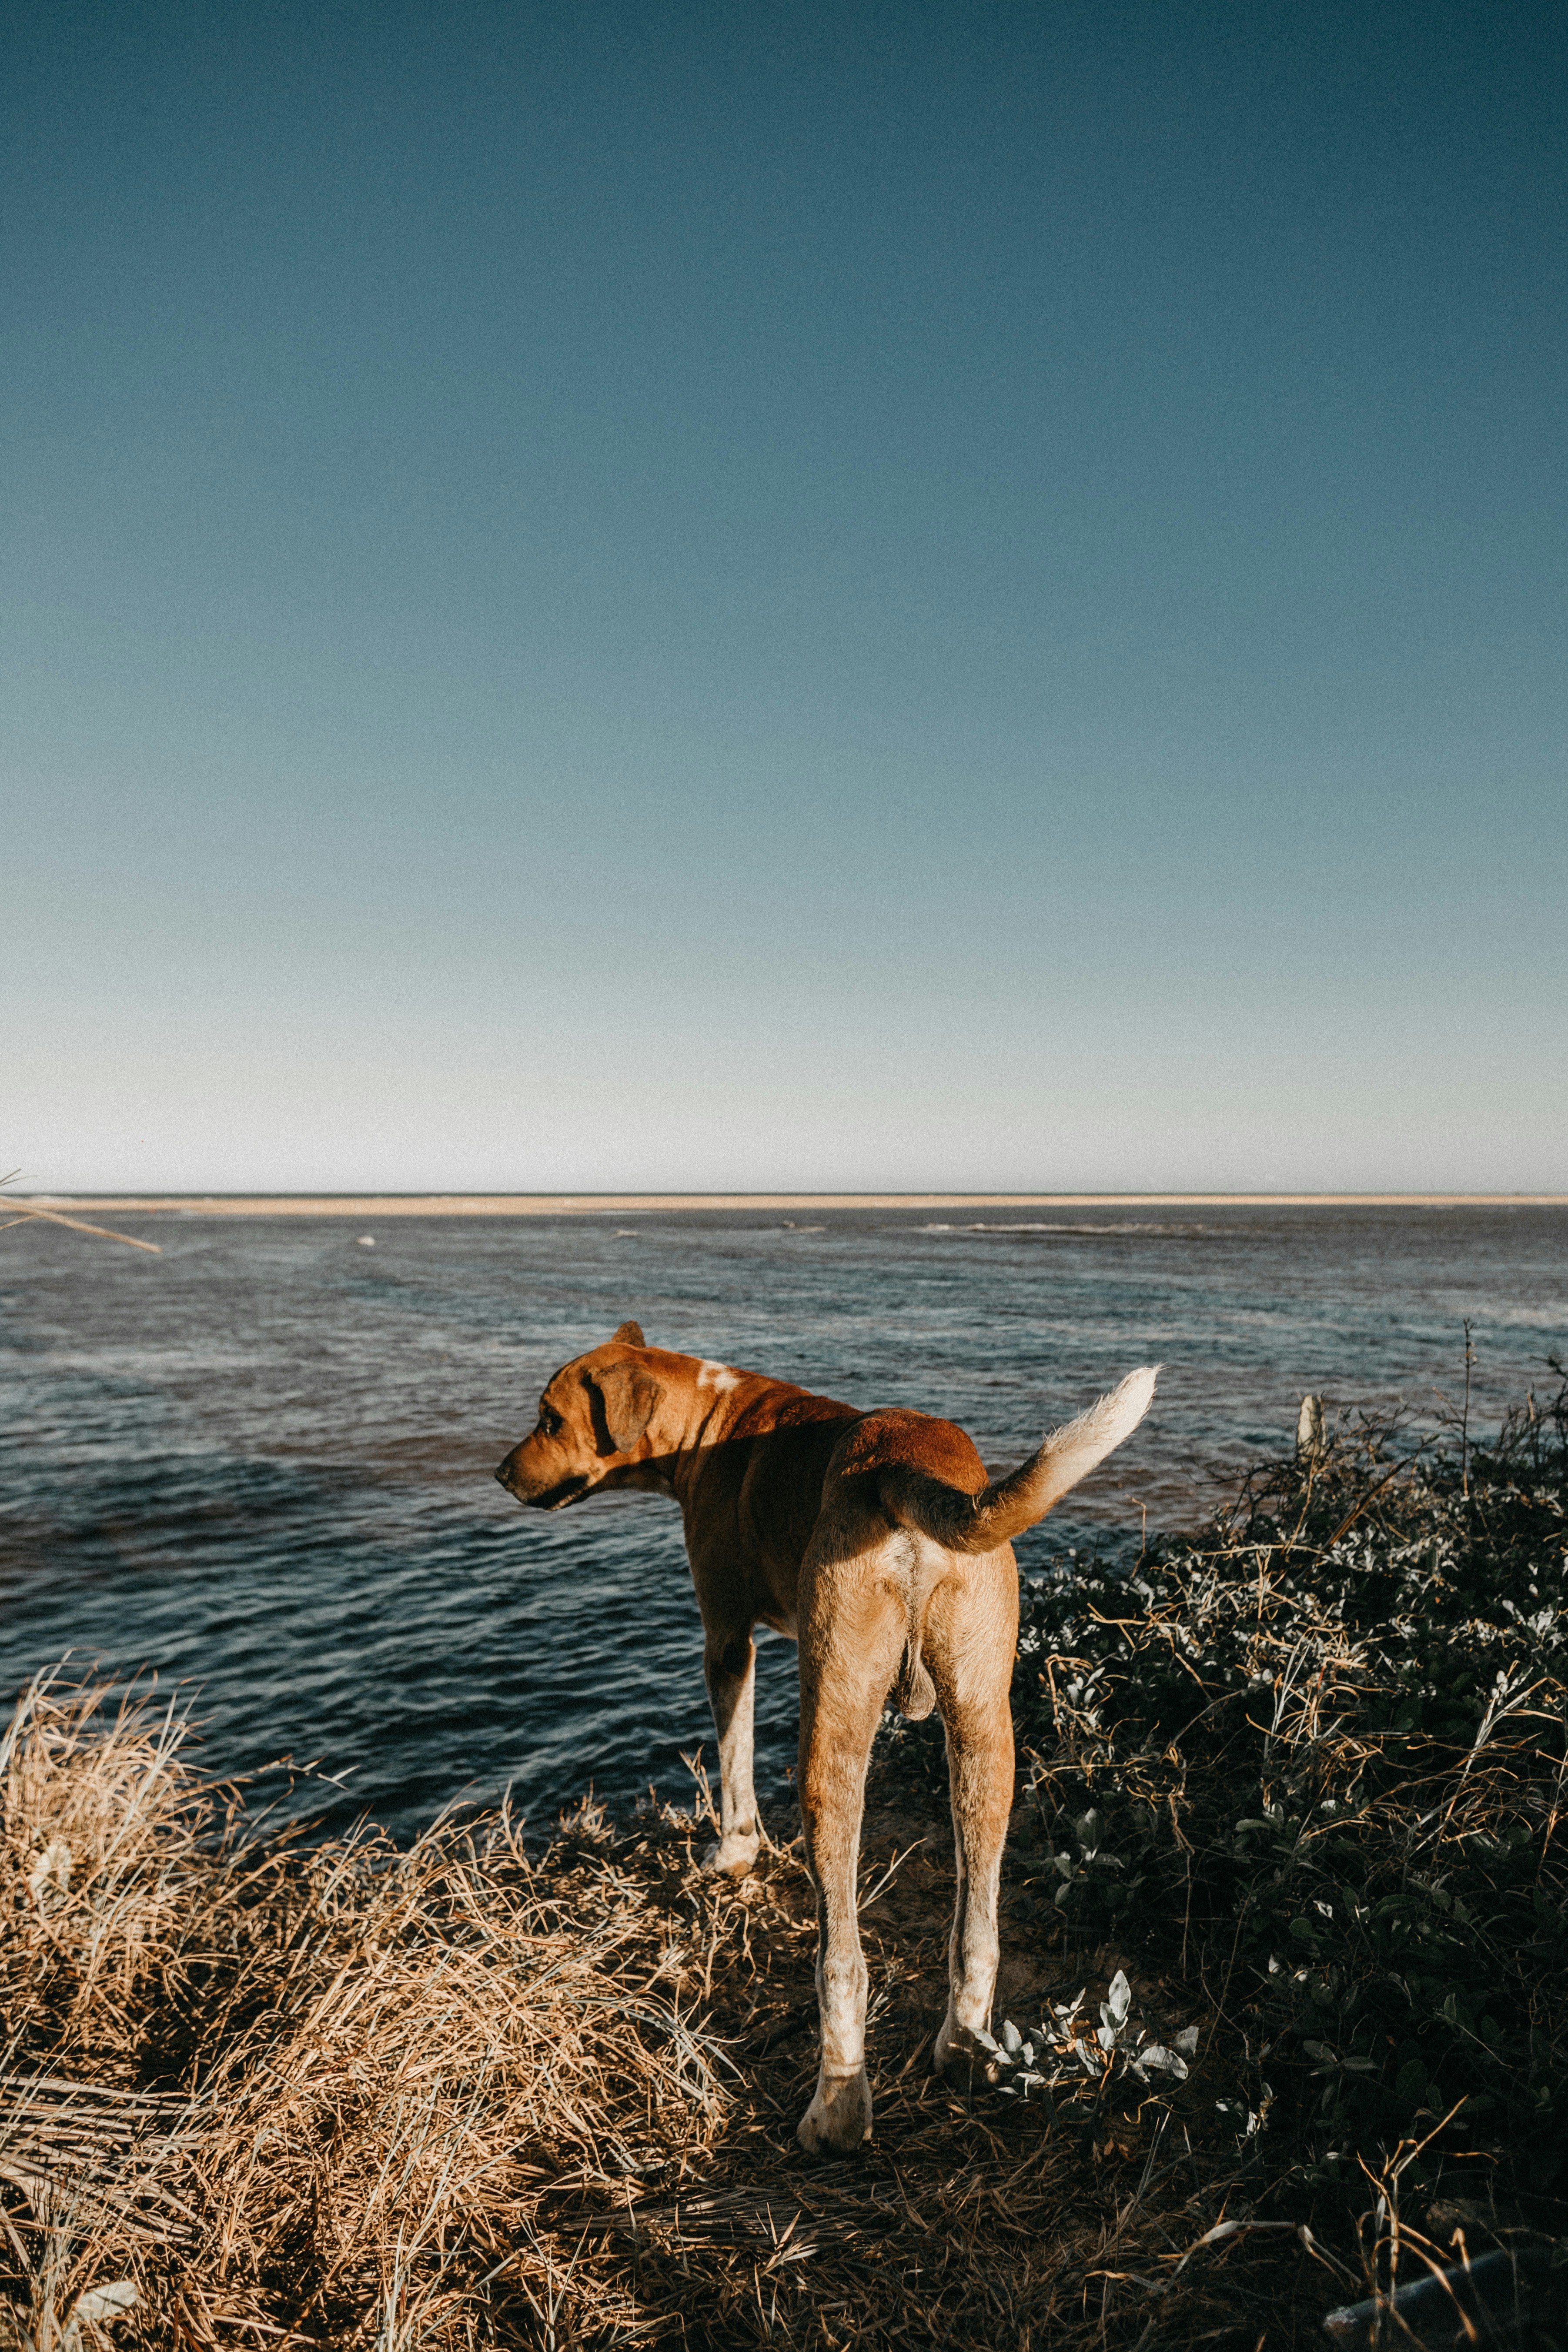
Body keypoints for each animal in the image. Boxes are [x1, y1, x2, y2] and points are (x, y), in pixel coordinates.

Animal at [496, 1326, 1161, 2154]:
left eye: (548, 1420)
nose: (500, 1472)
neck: (708, 1417)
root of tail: (905, 1463)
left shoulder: (727, 1639)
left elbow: (734, 1760)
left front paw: (733, 1852)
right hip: (982, 1728)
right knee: (976, 1923)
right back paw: (964, 2048)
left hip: (834, 1733)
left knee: (841, 1957)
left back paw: (837, 2107)